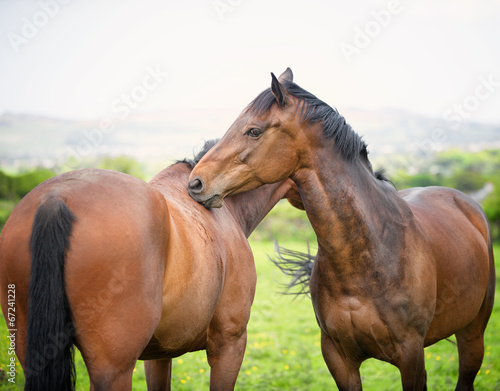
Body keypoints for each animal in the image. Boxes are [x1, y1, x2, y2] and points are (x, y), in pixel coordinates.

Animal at [188, 69, 496, 390]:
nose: (196, 182)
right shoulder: (338, 357)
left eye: (253, 131)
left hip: (473, 333)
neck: (371, 253)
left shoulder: (411, 355)